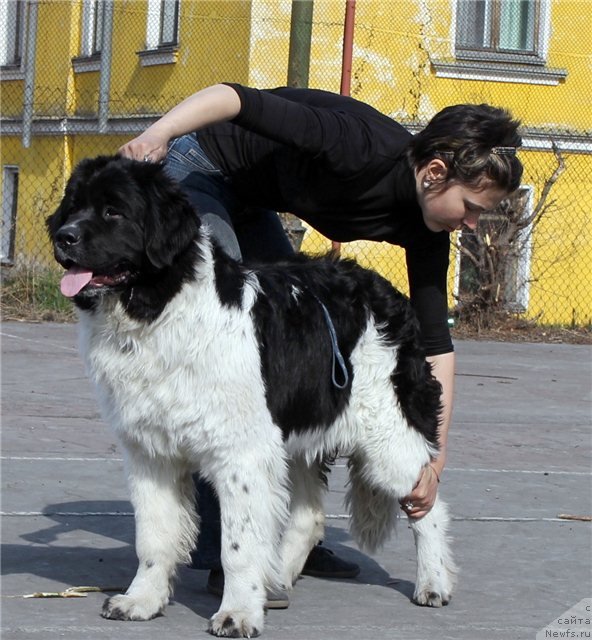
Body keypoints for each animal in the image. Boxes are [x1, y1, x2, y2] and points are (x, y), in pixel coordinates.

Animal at [47, 156, 458, 640]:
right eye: (73, 206)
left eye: (113, 211)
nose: (63, 236)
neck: (160, 310)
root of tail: (389, 292)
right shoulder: (151, 453)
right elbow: (154, 535)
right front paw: (141, 601)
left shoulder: (241, 455)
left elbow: (238, 545)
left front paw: (238, 613)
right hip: (295, 438)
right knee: (308, 517)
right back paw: (276, 576)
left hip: (387, 438)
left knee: (429, 507)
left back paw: (433, 584)